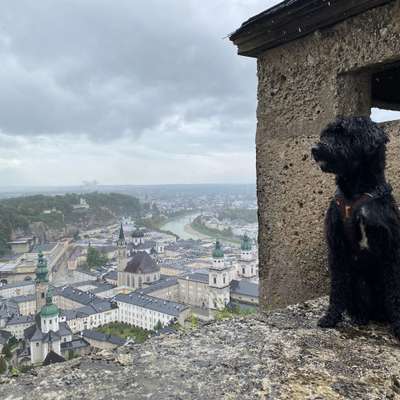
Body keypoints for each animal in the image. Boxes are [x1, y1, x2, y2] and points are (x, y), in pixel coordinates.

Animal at [312, 115, 400, 338]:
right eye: (326, 133)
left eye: (344, 134)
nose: (315, 148)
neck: (356, 194)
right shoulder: (336, 247)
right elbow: (336, 288)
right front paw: (331, 317)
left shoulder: (391, 248)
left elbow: (395, 291)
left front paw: (399, 324)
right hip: (356, 282)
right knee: (359, 305)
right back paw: (359, 317)